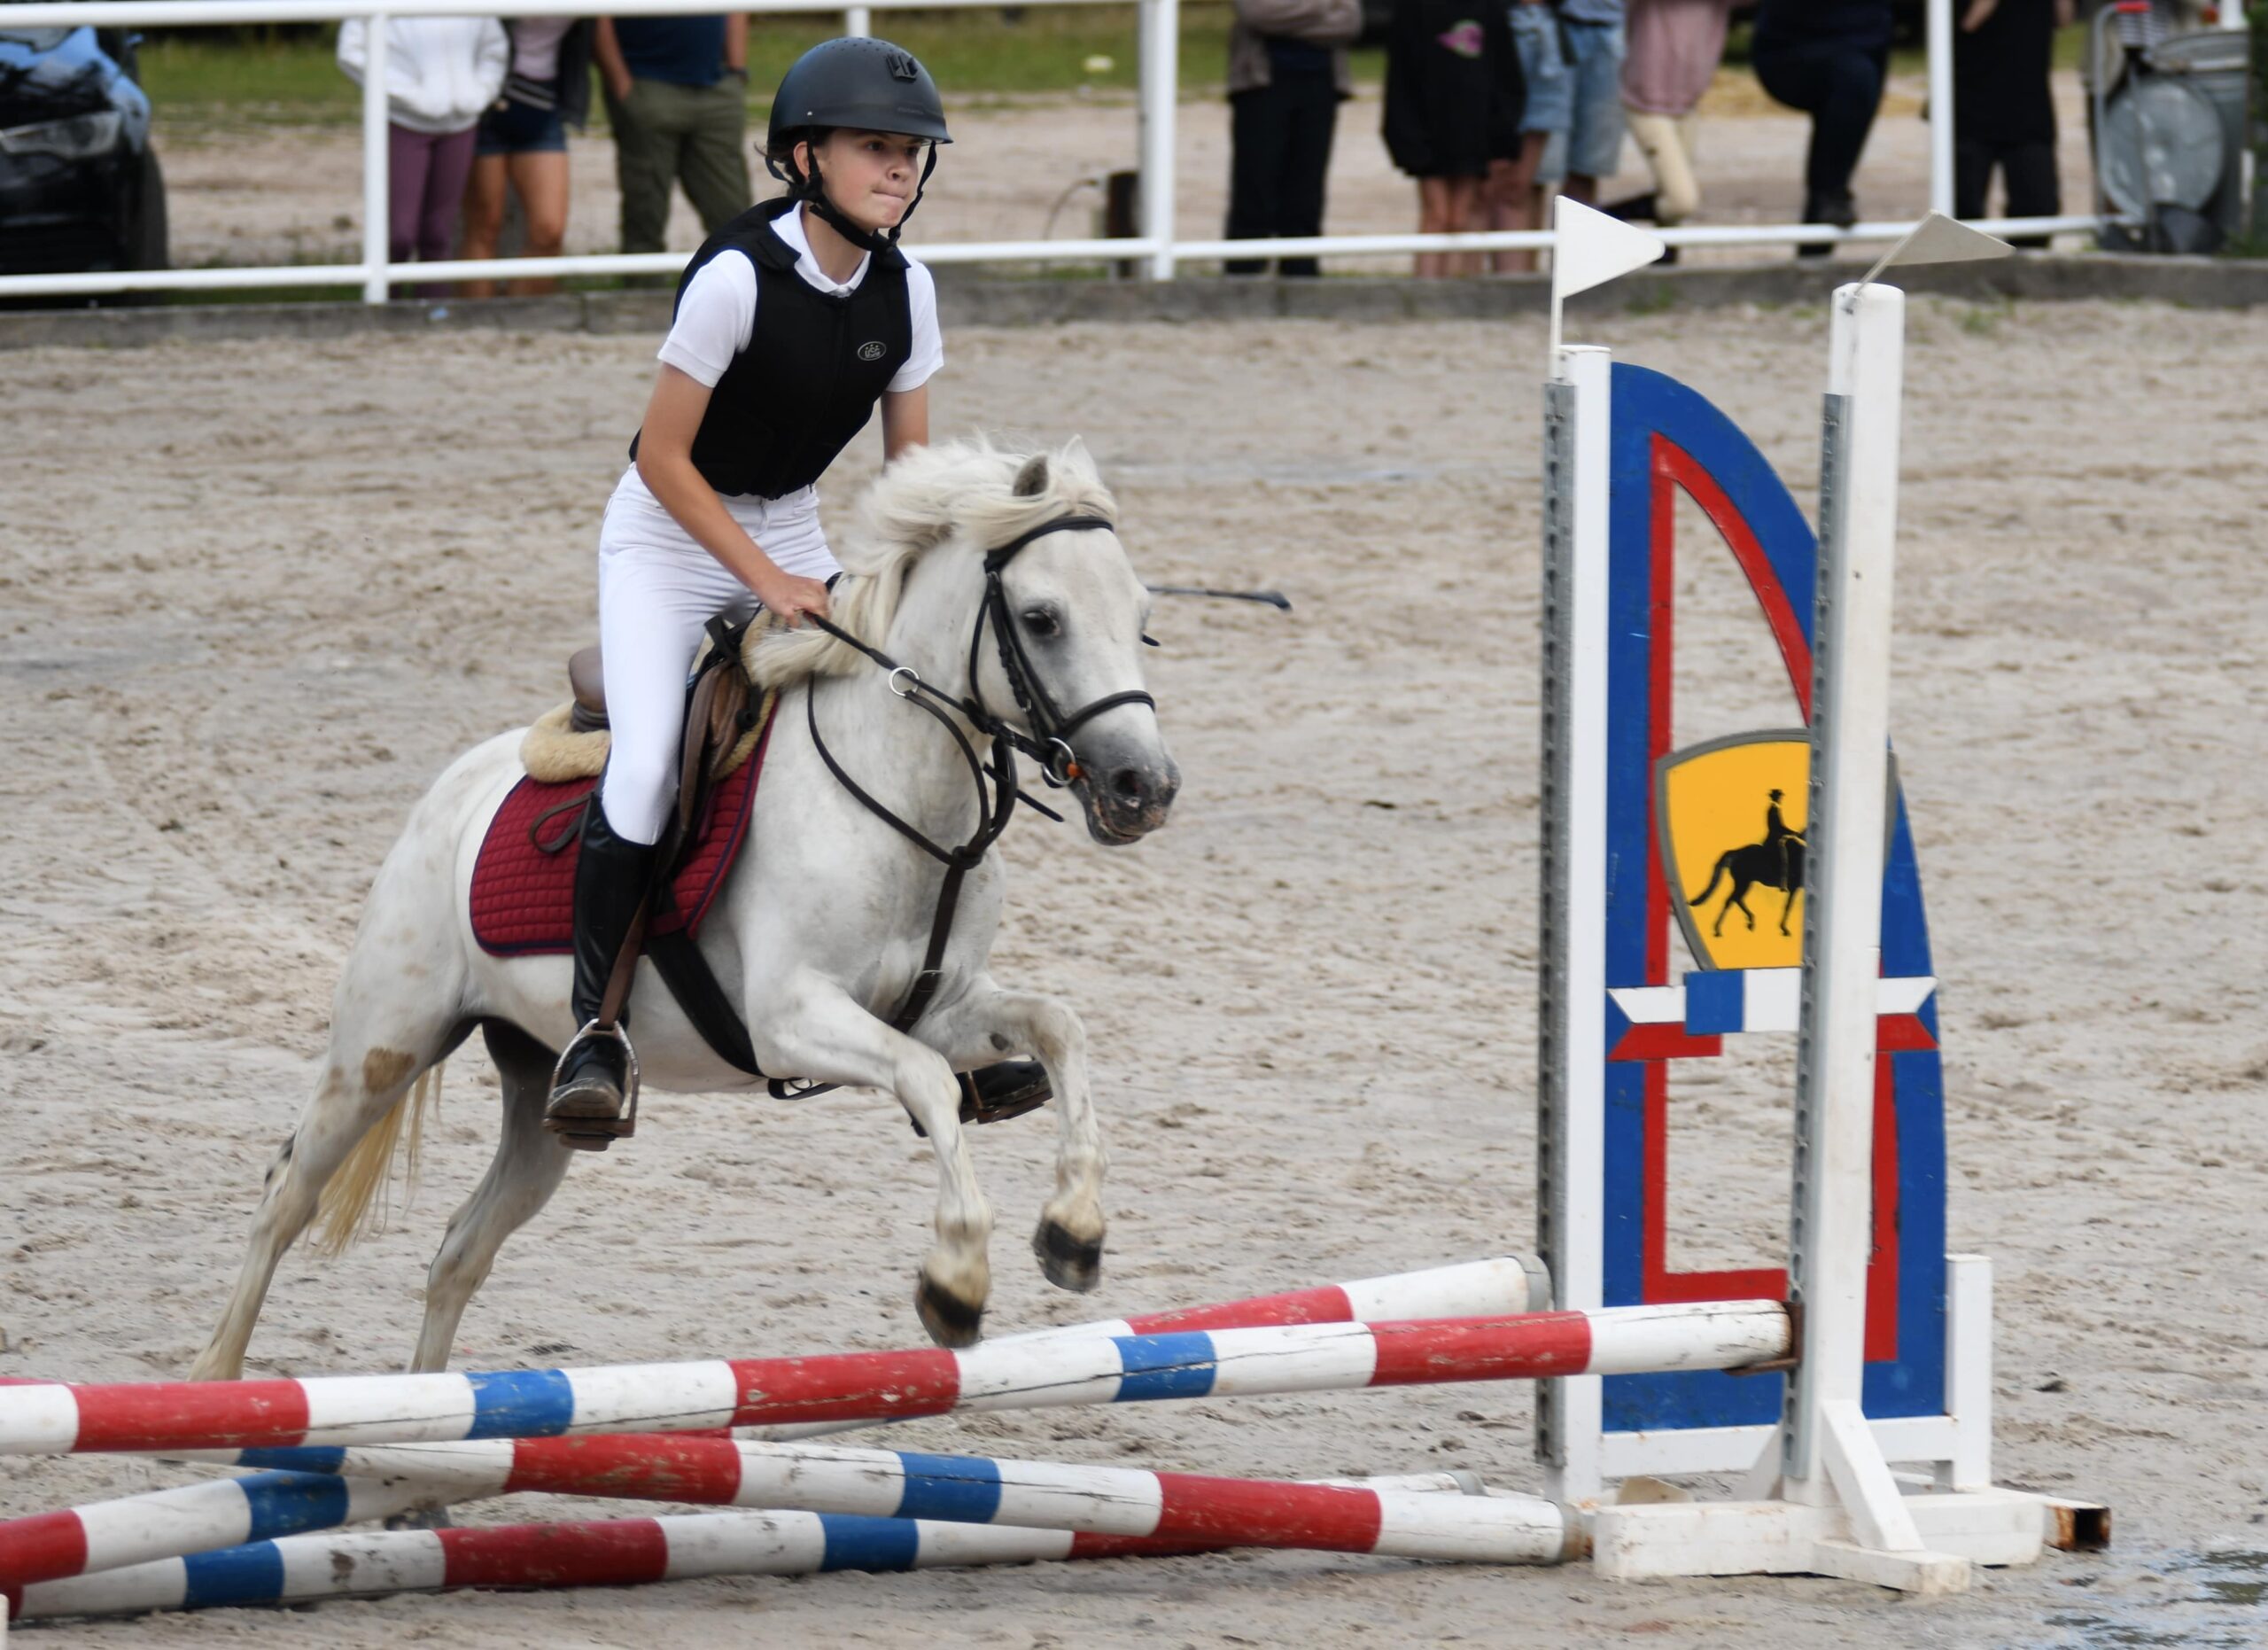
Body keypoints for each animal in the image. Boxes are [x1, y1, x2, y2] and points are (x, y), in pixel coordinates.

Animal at [192, 438, 1179, 1380]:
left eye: (1141, 619)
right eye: (1042, 618)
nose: (1146, 786)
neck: (902, 796)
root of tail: (456, 788)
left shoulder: (940, 1005)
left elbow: (1057, 1028)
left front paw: (1073, 1229)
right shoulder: (791, 1019)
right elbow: (929, 1080)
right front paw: (955, 1281)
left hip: (541, 1099)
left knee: (459, 1252)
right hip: (379, 1052)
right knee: (284, 1200)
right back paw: (219, 1380)